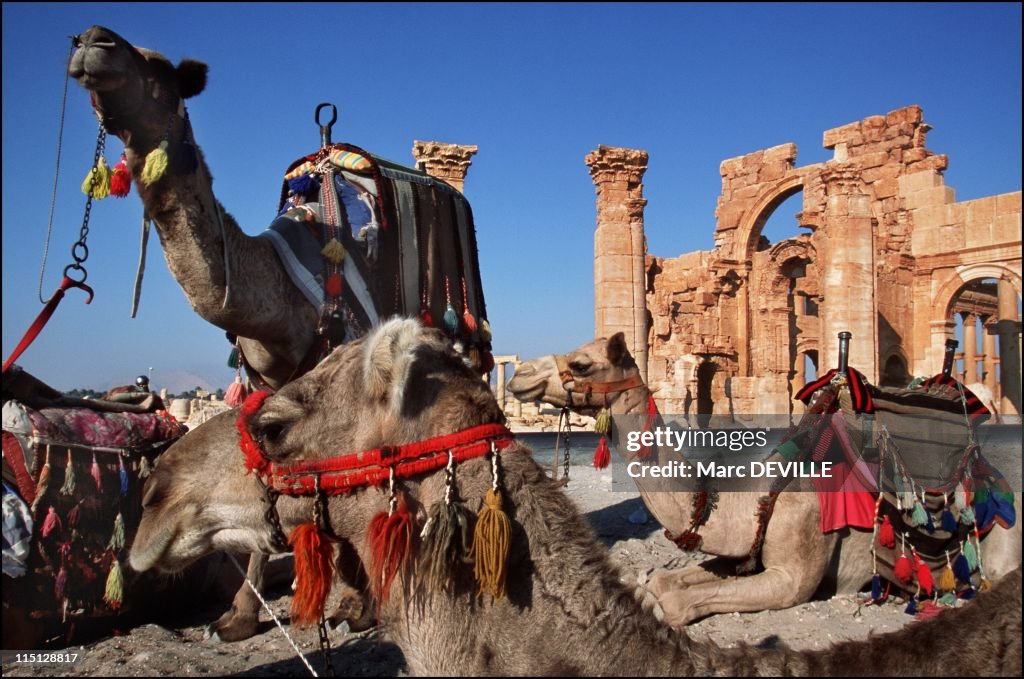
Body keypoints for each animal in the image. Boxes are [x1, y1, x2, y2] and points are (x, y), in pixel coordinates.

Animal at [505, 333, 1024, 626]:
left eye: (582, 364)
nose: (520, 375)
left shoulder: (794, 569)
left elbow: (674, 600)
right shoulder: (743, 549)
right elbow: (668, 580)